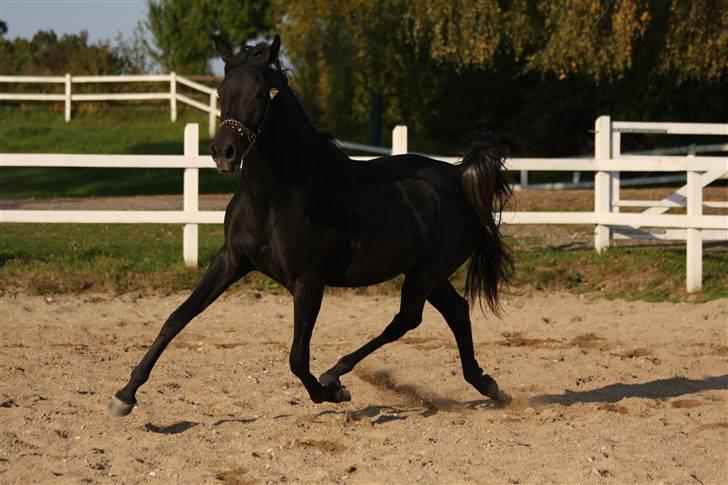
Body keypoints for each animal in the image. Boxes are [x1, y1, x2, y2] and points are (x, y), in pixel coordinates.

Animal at [109, 35, 516, 416]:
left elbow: (297, 357)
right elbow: (177, 318)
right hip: (428, 274)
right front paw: (124, 395)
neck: (277, 196)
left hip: (424, 275)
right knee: (455, 311)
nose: (224, 153)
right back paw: (489, 386)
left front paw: (329, 394)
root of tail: (460, 177)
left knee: (405, 320)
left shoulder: (308, 280)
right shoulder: (231, 260)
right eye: (222, 93)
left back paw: (336, 374)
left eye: (261, 94)